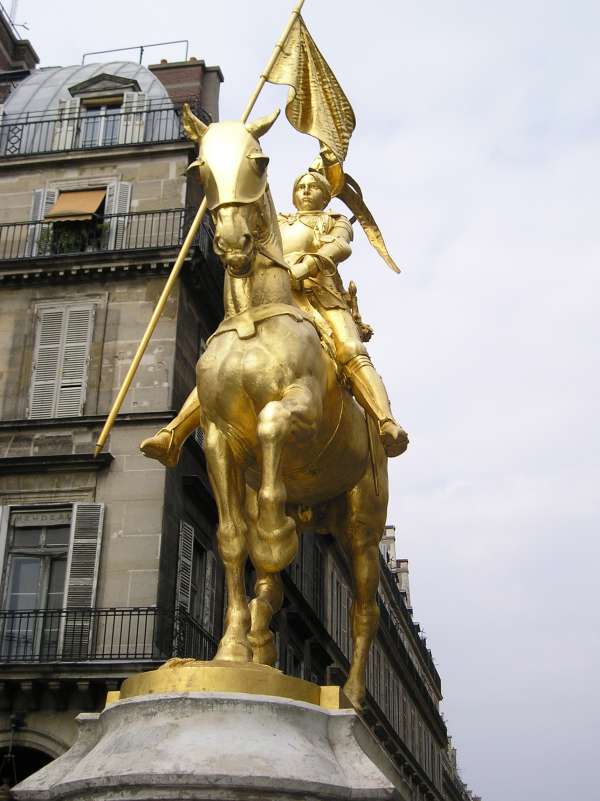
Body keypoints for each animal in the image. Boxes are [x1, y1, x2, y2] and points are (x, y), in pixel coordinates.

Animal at [188, 104, 392, 708]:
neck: (253, 318)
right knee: (269, 579)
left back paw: (349, 694)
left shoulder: (299, 407)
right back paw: (260, 638)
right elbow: (233, 541)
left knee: (365, 610)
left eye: (259, 161)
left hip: (362, 524)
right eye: (200, 167)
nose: (232, 242)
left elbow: (273, 422)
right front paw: (232, 652)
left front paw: (275, 540)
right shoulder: (217, 437)